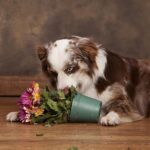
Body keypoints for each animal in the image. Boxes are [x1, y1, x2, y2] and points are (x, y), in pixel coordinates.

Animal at [6, 36, 150, 125]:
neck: (87, 84)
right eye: (53, 73)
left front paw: (110, 117)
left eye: (70, 69)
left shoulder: (128, 103)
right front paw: (19, 113)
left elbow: (119, 107)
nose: (63, 93)